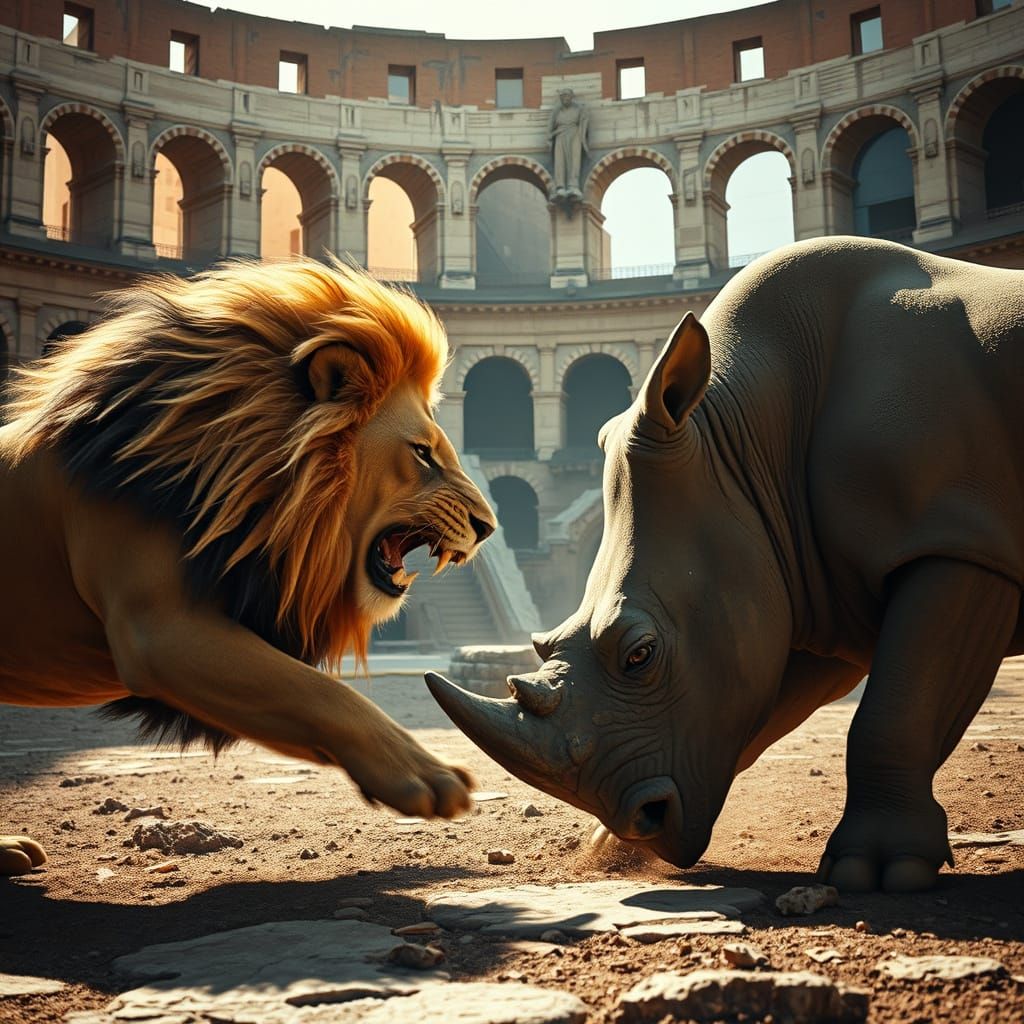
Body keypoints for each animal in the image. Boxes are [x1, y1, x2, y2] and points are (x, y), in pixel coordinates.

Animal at [427, 236, 1024, 893]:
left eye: (640, 655)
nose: (645, 817)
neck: (749, 445)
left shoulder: (956, 539)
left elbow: (896, 706)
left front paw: (878, 868)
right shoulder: (802, 586)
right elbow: (757, 711)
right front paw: (613, 851)